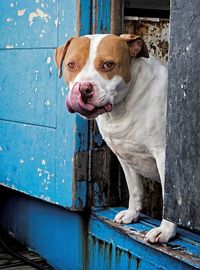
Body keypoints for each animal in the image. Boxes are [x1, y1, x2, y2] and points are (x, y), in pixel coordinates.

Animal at [54, 33, 177, 243]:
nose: (84, 88)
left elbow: (170, 200)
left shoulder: (164, 156)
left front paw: (166, 231)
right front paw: (132, 214)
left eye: (108, 65)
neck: (122, 107)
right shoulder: (124, 156)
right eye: (71, 65)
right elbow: (135, 189)